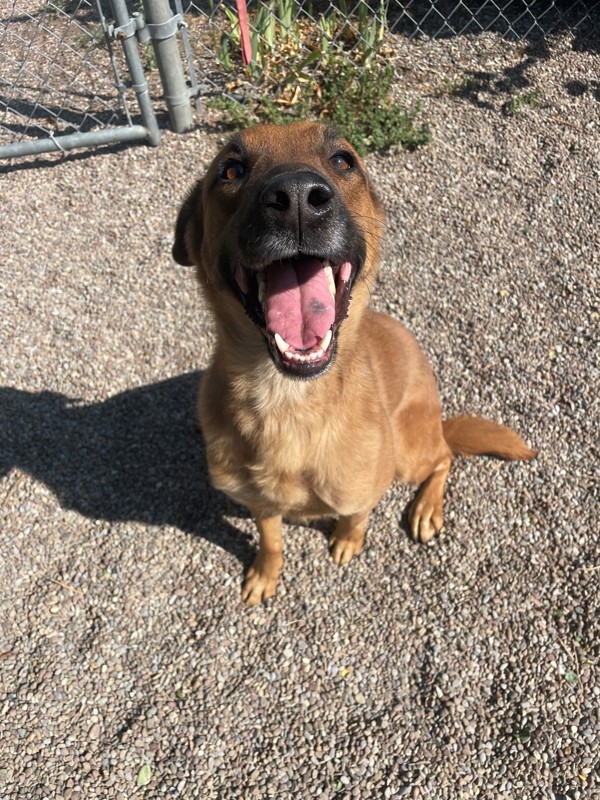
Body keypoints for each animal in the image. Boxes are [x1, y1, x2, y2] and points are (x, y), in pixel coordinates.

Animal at [172, 120, 536, 608]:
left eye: (343, 160)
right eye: (230, 170)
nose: (297, 198)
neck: (288, 403)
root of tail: (438, 421)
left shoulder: (365, 490)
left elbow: (356, 516)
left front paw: (347, 539)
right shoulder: (261, 504)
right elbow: (271, 539)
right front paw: (266, 573)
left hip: (409, 453)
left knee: (442, 457)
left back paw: (426, 507)